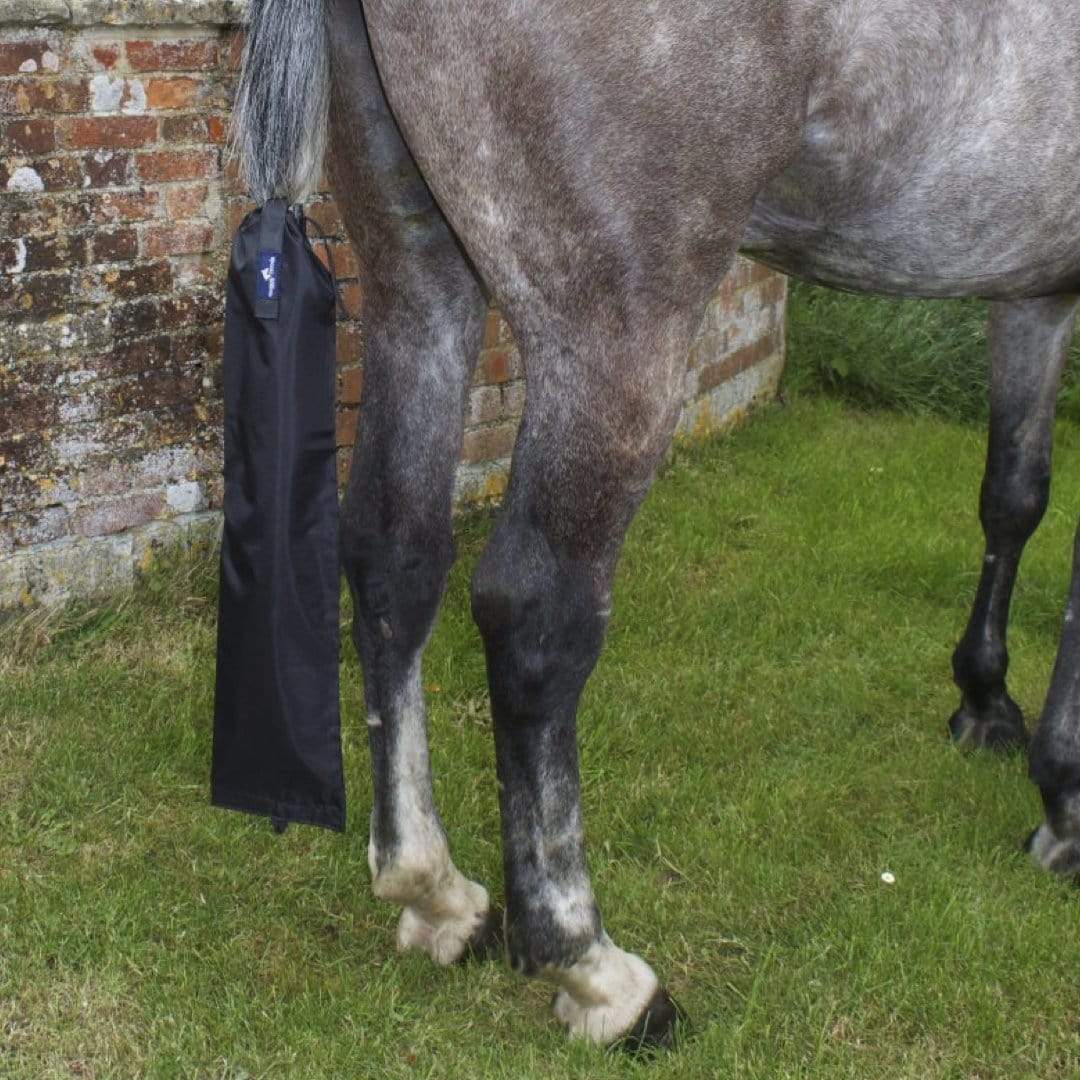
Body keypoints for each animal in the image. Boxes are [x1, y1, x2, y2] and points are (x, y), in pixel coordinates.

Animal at [233, 0, 1080, 1051]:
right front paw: (1064, 795)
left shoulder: (1033, 284)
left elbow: (1015, 493)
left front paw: (988, 701)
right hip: (617, 329)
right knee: (536, 617)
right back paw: (594, 969)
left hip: (417, 268)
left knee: (394, 554)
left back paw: (435, 892)